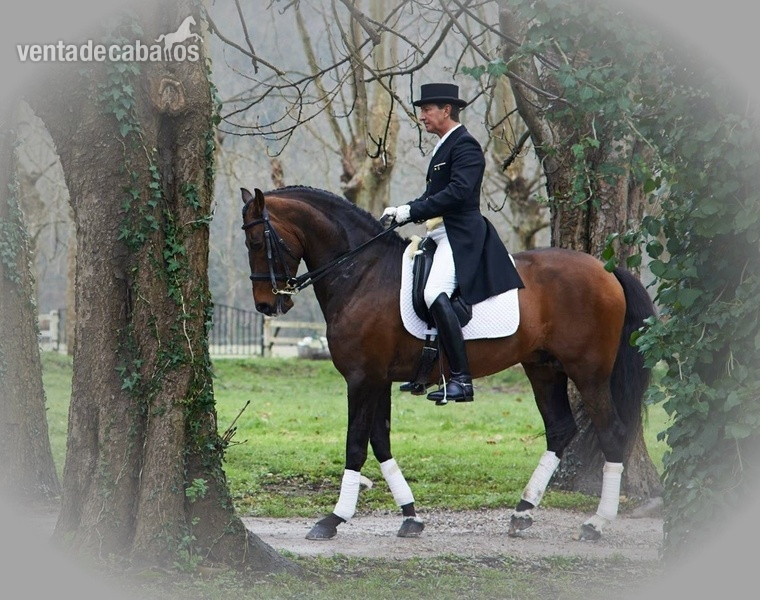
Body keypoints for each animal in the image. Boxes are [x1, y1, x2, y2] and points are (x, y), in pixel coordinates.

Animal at [240, 185, 655, 542]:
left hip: (589, 372)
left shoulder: (361, 378)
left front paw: (333, 519)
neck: (362, 273)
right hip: (543, 368)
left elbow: (355, 444)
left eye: (257, 241)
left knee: (613, 432)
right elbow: (381, 441)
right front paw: (410, 515)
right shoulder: (378, 379)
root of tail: (605, 270)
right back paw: (522, 512)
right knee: (560, 430)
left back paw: (596, 523)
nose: (266, 304)